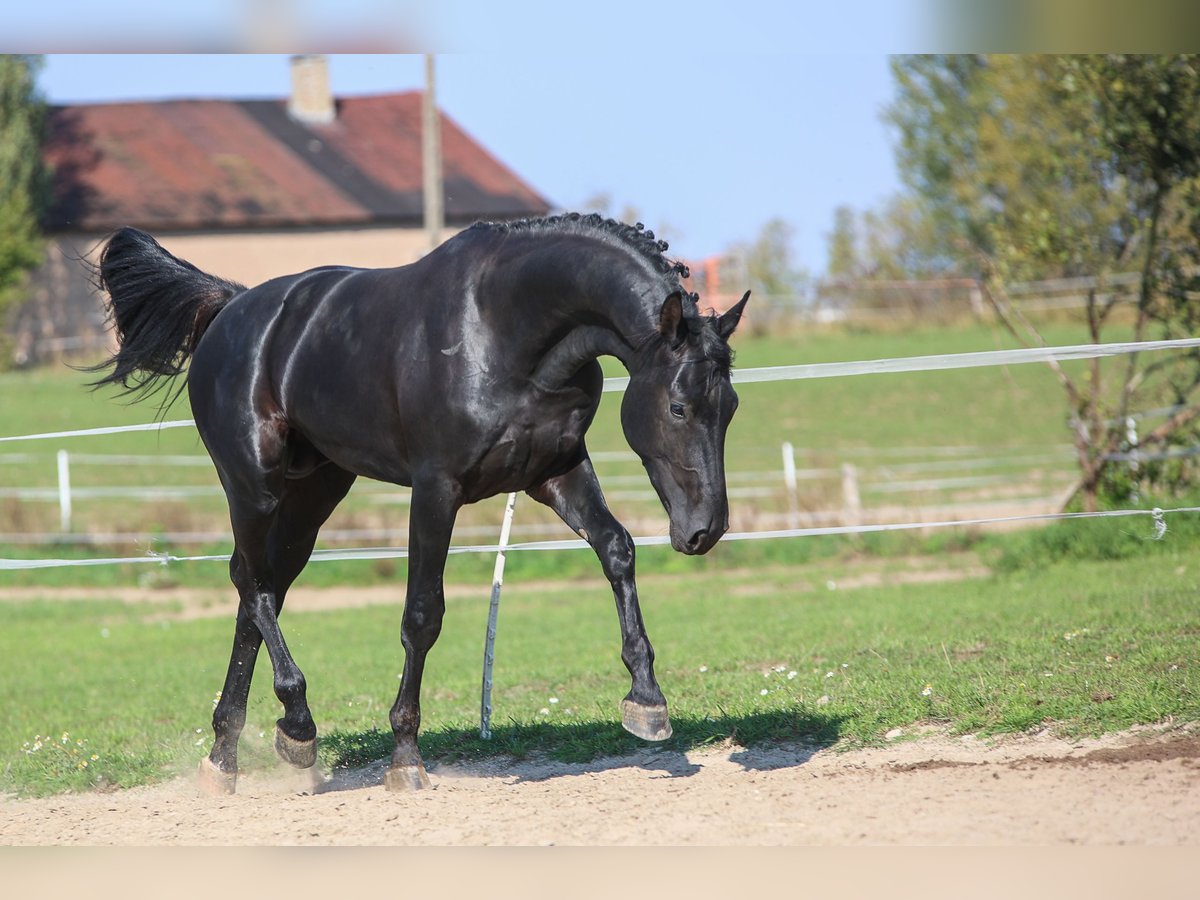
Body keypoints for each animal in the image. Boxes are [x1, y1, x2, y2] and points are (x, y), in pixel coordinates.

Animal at [93, 214, 748, 792]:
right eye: (678, 407)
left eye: (731, 407)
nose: (705, 530)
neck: (504, 329)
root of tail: (231, 306)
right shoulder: (437, 490)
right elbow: (421, 615)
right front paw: (405, 757)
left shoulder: (555, 471)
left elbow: (617, 549)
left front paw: (647, 699)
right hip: (253, 486)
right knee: (252, 585)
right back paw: (297, 728)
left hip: (315, 492)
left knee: (260, 590)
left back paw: (226, 757)